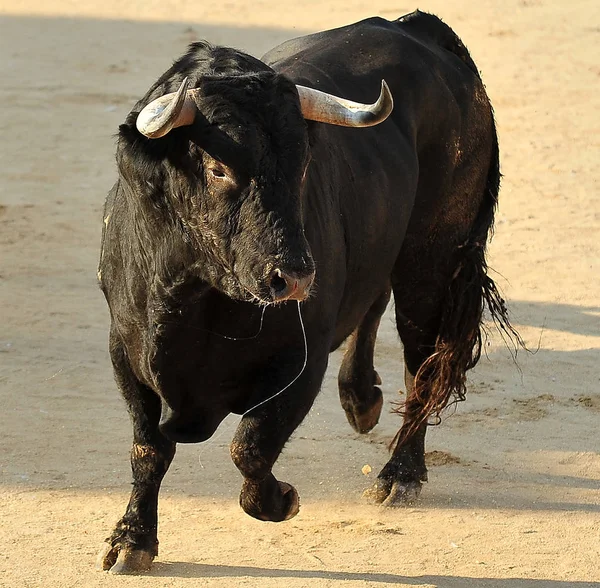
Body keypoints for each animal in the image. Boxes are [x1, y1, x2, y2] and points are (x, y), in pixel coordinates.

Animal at [96, 10, 516, 576]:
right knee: (374, 302)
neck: (200, 299)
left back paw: (400, 474)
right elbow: (148, 449)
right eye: (218, 168)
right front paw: (132, 540)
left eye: (302, 166)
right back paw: (361, 400)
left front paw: (282, 500)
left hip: (430, 263)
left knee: (421, 363)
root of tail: (415, 27)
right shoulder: (128, 353)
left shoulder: (301, 359)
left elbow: (250, 445)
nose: (294, 278)